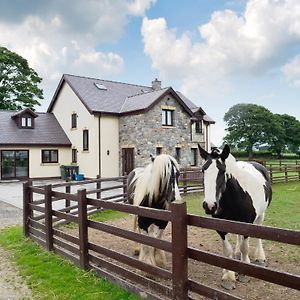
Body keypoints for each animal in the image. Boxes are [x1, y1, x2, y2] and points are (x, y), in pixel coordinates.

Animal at [198, 144, 274, 290]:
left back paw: (260, 258)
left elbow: (245, 247)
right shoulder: (221, 227)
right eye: (203, 170)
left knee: (258, 235)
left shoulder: (247, 224)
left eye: (222, 171)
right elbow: (227, 251)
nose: (210, 205)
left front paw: (243, 273)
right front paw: (228, 277)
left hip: (261, 216)